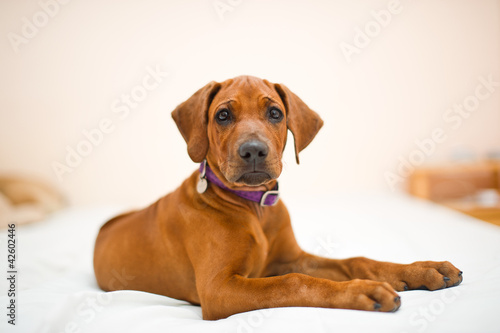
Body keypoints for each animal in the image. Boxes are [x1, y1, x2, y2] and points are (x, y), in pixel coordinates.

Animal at [93, 75, 460, 320]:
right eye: (223, 115)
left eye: (274, 113)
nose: (253, 151)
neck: (254, 206)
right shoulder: (218, 289)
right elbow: (294, 283)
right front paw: (359, 290)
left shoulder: (290, 258)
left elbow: (355, 260)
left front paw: (422, 270)